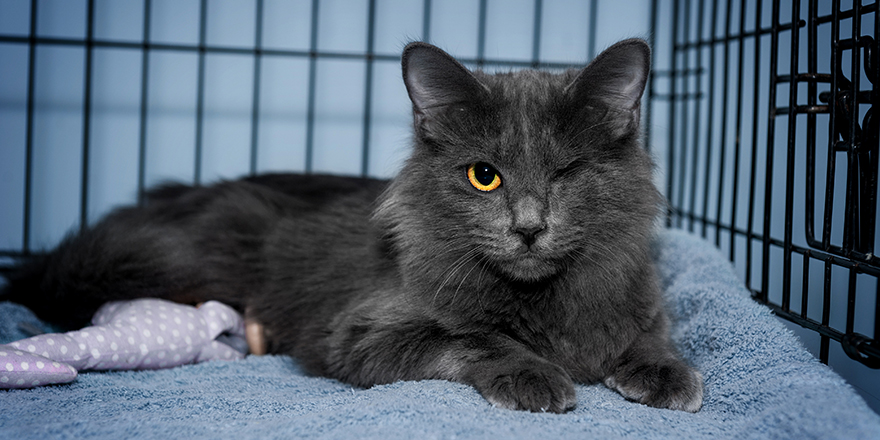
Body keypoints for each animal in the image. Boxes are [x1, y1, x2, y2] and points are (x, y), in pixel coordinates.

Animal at [5, 39, 700, 414]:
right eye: (484, 176)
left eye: (568, 171)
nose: (529, 228)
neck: (542, 298)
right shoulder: (363, 335)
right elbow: (474, 337)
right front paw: (535, 375)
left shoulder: (642, 299)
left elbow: (650, 339)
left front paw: (670, 375)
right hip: (186, 257)